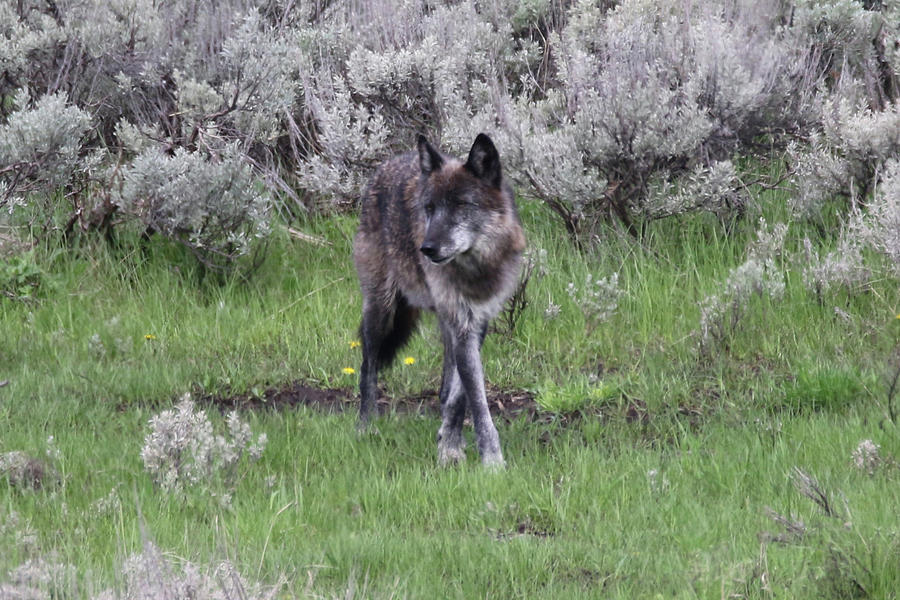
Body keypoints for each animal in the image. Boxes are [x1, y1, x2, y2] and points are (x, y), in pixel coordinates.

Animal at [354, 134, 528, 466]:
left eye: (461, 205)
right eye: (430, 208)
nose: (427, 249)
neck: (475, 271)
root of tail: (391, 160)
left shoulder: (475, 323)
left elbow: (461, 394)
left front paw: (450, 444)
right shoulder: (462, 325)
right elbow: (476, 400)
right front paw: (490, 461)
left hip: (440, 321)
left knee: (445, 386)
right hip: (381, 310)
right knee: (367, 366)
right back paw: (366, 426)